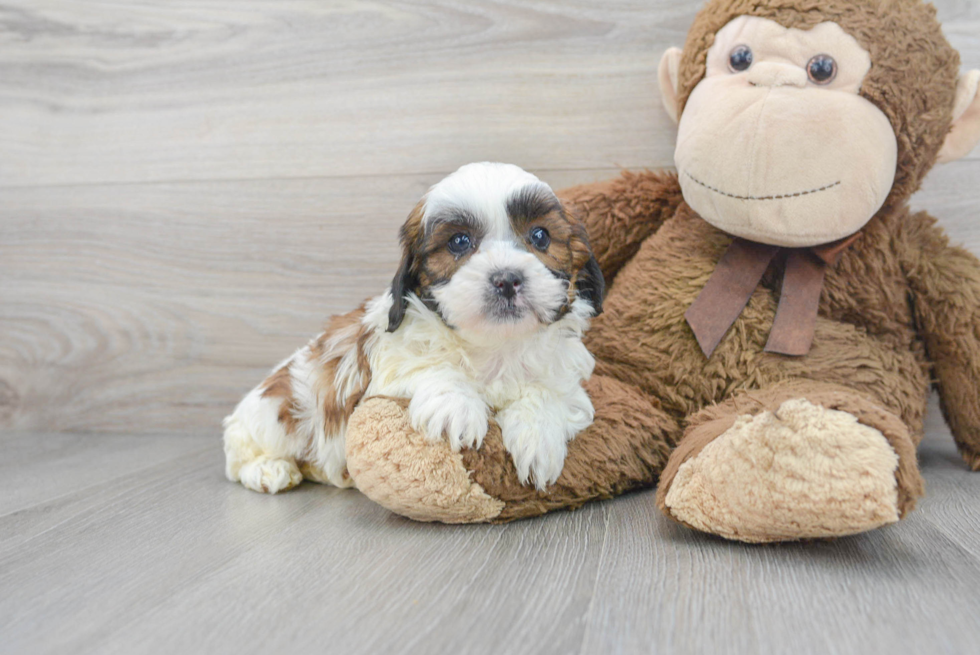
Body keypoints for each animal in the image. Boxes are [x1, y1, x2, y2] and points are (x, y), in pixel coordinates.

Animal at [223, 163, 604, 492]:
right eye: (459, 242)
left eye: (540, 236)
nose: (507, 279)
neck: (494, 347)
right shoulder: (382, 369)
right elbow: (427, 366)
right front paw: (456, 407)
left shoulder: (564, 378)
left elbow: (548, 392)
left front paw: (538, 437)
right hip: (270, 419)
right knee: (237, 456)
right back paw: (268, 469)